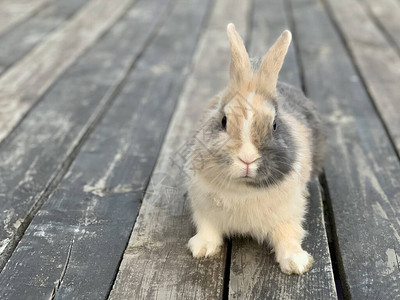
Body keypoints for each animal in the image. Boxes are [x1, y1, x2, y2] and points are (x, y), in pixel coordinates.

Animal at [187, 24, 324, 276]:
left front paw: (296, 263)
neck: (244, 190)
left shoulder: (288, 215)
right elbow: (207, 228)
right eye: (223, 121)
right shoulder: (203, 208)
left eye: (275, 124)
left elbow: (289, 236)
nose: (247, 159)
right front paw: (202, 248)